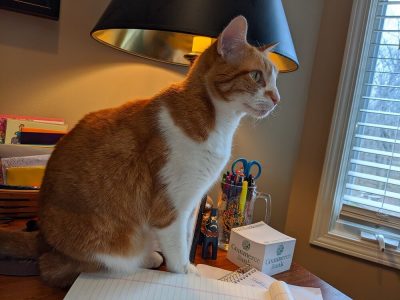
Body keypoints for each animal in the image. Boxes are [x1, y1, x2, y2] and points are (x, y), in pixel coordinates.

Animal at [0, 15, 280, 288]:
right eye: (257, 76)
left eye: (275, 80)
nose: (278, 99)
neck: (219, 124)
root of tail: (42, 235)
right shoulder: (171, 208)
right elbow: (178, 252)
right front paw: (187, 277)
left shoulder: (191, 204)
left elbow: (187, 239)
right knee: (58, 268)